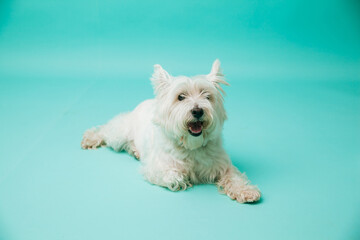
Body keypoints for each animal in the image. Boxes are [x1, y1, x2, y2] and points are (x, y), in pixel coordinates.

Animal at [82, 59, 262, 202]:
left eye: (207, 95)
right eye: (180, 97)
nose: (197, 111)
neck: (192, 146)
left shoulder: (222, 164)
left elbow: (234, 176)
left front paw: (246, 191)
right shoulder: (156, 168)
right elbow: (174, 176)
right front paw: (185, 179)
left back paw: (135, 151)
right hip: (120, 132)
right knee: (107, 130)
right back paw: (90, 138)